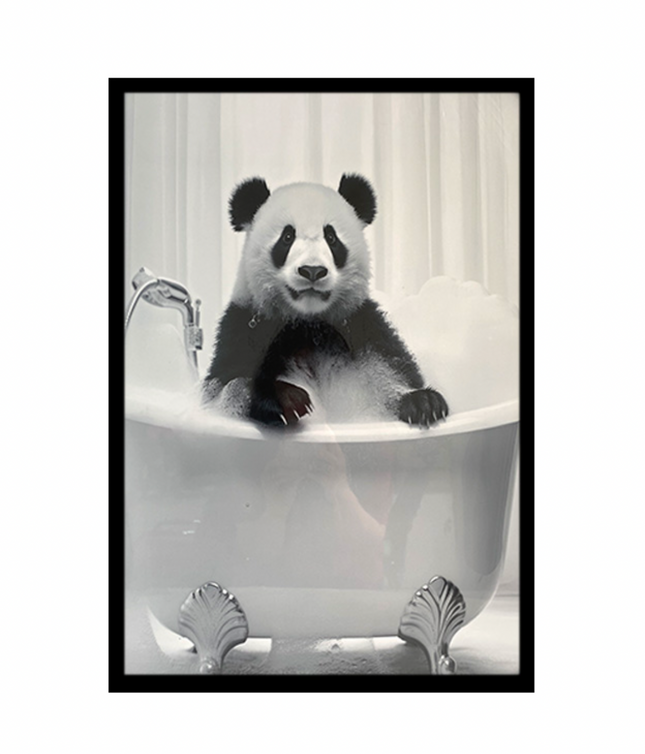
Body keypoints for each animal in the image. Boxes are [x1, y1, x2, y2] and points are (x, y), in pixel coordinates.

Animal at [202, 173, 448, 429]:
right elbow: (226, 388)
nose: (312, 270)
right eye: (287, 237)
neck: (307, 324)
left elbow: (388, 373)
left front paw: (423, 403)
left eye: (331, 238)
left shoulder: (361, 327)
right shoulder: (246, 327)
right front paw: (286, 398)